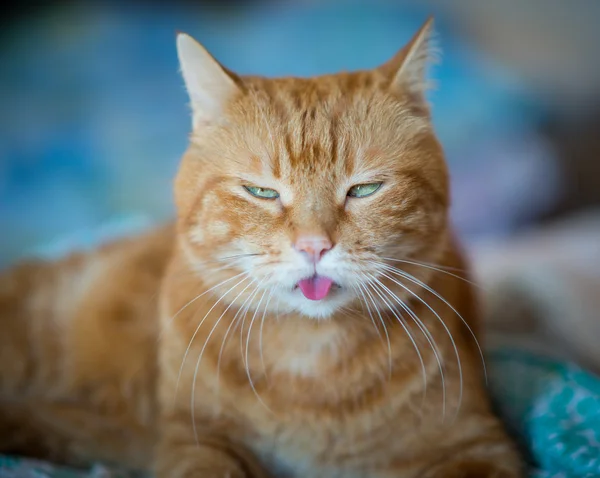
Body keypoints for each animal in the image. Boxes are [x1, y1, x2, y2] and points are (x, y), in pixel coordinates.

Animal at [0, 18, 520, 478]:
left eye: (365, 190)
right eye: (262, 192)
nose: (314, 246)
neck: (310, 360)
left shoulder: (476, 445)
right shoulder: (196, 442)